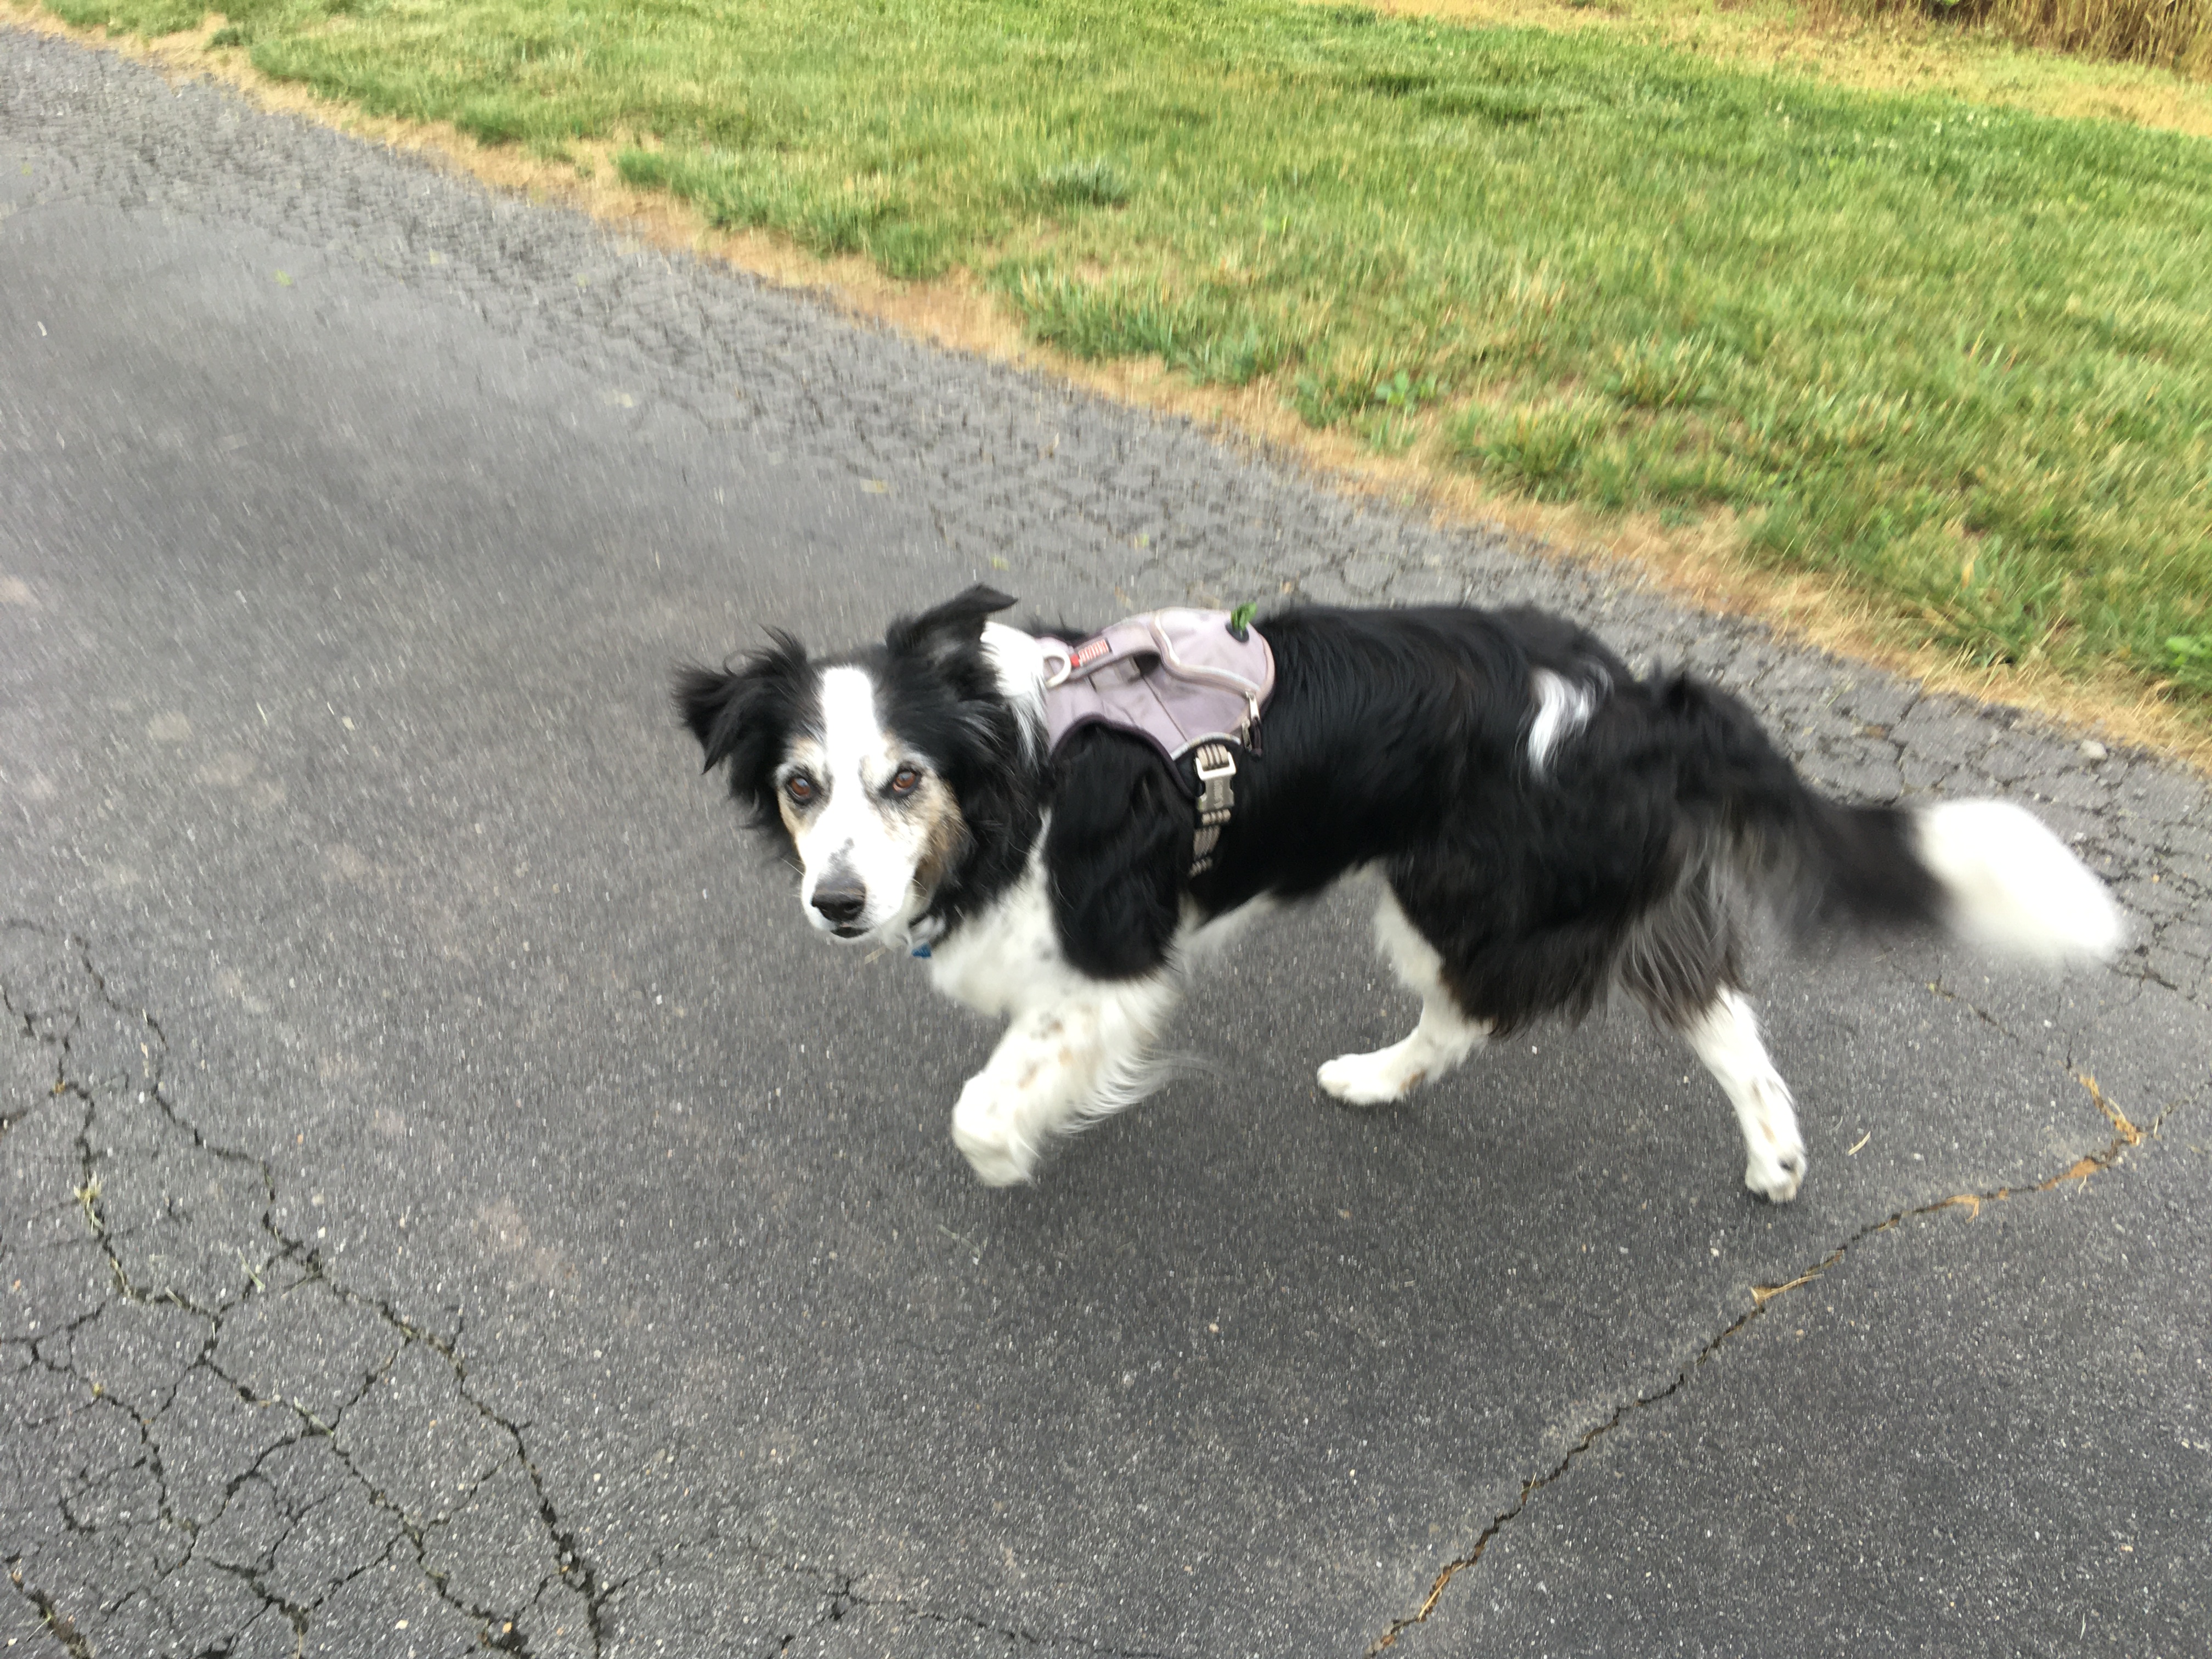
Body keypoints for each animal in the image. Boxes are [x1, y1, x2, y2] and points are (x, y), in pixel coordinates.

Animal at [675, 586, 2122, 1202]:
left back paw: (1378, 1077)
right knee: (1720, 1011)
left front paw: (1009, 1153)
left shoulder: (1110, 961)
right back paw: (1774, 1158)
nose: (837, 905)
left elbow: (991, 1096)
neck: (1013, 779)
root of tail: (1629, 699)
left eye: (903, 781)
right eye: (801, 787)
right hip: (1583, 888)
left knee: (1483, 1009)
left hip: (1453, 890)